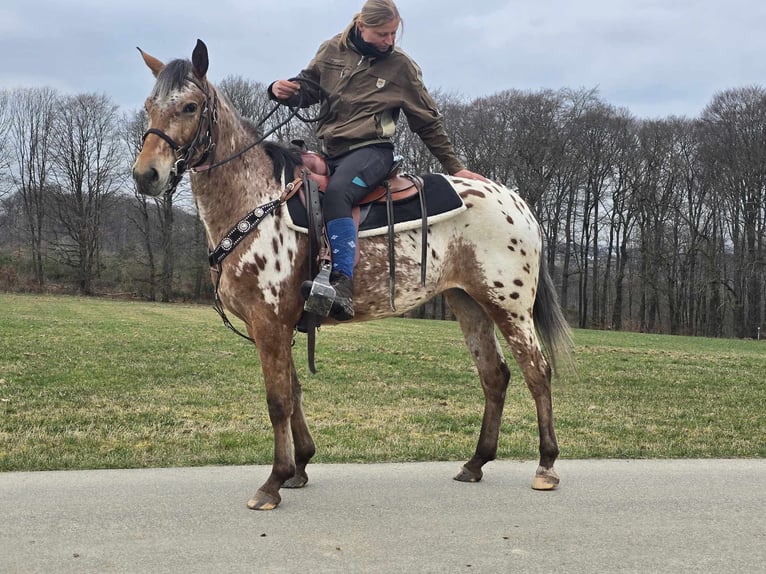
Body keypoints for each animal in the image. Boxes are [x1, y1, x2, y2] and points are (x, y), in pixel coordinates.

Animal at [134, 40, 576, 510]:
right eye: (149, 106)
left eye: (190, 106)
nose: (146, 175)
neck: (256, 198)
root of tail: (516, 201)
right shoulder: (275, 325)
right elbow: (293, 391)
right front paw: (300, 466)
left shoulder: (269, 322)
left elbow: (277, 400)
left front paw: (273, 481)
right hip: (469, 303)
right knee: (495, 376)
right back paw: (476, 463)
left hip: (508, 306)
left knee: (537, 371)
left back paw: (546, 466)